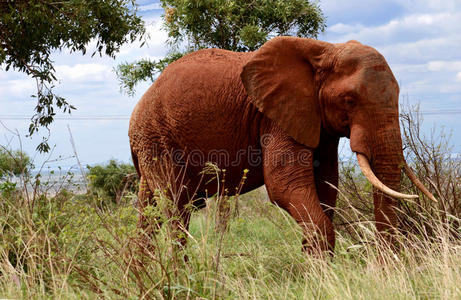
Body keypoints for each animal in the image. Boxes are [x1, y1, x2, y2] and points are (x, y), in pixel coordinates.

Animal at [129, 36, 434, 254]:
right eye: (349, 100)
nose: (383, 269)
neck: (325, 50)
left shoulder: (317, 123)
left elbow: (327, 185)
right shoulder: (273, 117)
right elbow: (284, 186)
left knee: (149, 213)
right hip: (157, 139)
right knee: (175, 209)